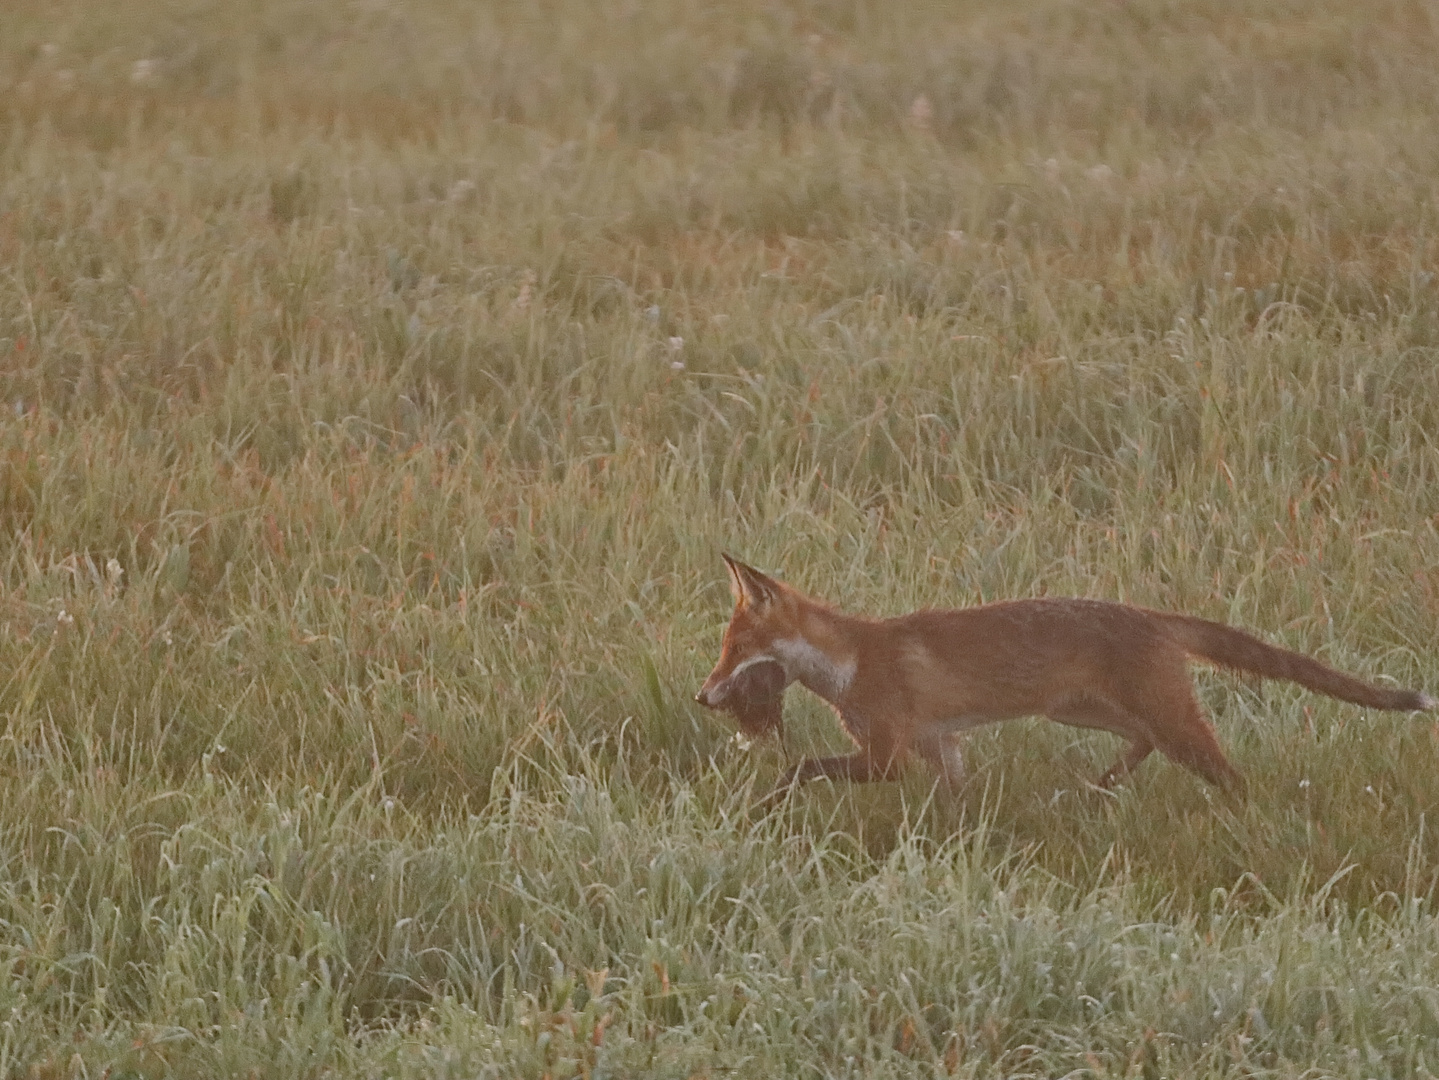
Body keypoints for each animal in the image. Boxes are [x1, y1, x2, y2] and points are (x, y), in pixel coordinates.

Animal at [693, 560, 1427, 799]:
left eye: (734, 649)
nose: (702, 696)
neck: (851, 659)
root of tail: (1148, 615)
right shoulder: (941, 747)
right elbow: (955, 803)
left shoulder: (887, 756)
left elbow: (803, 768)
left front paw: (768, 800)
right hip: (1078, 713)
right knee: (1140, 743)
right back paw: (1098, 789)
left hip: (1169, 724)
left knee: (1228, 776)